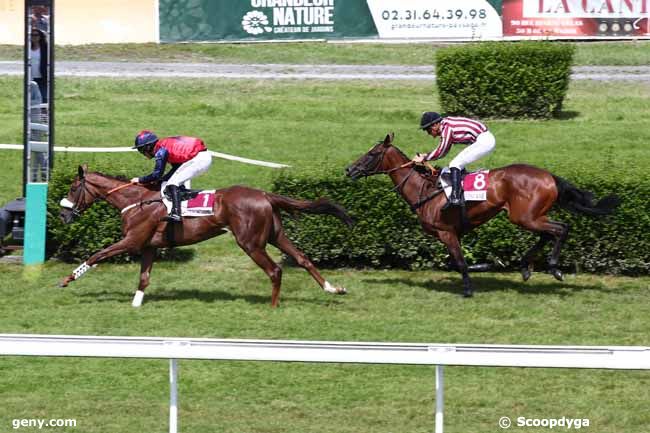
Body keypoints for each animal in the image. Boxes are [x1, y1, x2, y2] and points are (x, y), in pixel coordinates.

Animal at [58, 163, 352, 308]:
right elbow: (144, 277)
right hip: (275, 235)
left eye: (72, 188)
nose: (62, 215)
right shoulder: (149, 246)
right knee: (302, 259)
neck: (136, 200)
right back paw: (333, 288)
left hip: (250, 242)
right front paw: (136, 304)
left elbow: (97, 255)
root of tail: (264, 194)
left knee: (275, 270)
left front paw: (67, 279)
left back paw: (272, 306)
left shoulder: (131, 241)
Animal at [344, 133, 616, 296]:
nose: (349, 170)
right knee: (549, 233)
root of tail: (549, 176)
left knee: (561, 229)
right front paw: (488, 264)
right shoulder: (454, 233)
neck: (425, 189)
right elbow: (455, 262)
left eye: (371, 154)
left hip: (524, 217)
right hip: (532, 216)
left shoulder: (446, 232)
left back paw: (554, 267)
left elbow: (459, 262)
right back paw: (525, 267)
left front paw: (469, 288)